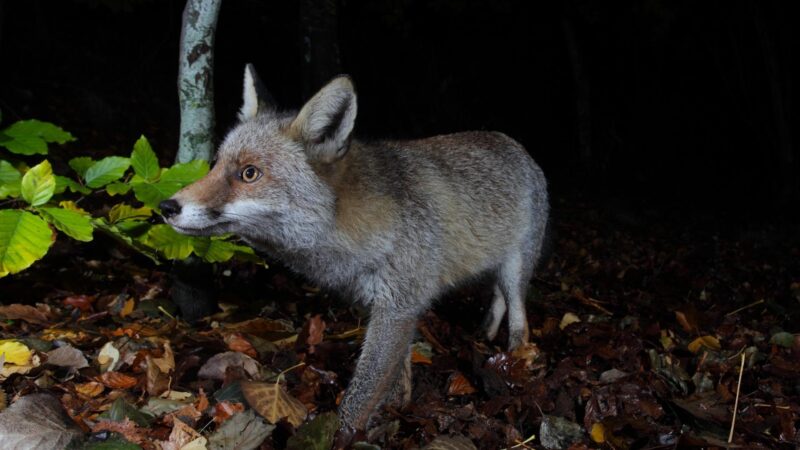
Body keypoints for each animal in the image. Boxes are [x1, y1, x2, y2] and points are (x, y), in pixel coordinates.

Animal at [161, 66, 552, 436]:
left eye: (249, 173)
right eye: (215, 165)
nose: (167, 206)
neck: (351, 231)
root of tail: (513, 143)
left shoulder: (398, 306)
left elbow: (362, 393)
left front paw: (344, 435)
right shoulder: (382, 306)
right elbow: (397, 373)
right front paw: (397, 409)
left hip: (516, 269)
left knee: (518, 316)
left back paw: (516, 360)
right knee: (497, 299)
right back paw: (486, 333)